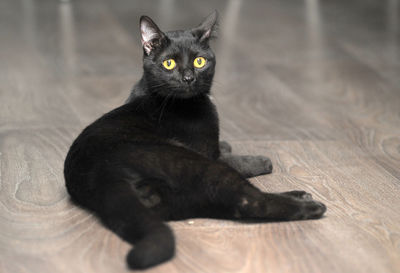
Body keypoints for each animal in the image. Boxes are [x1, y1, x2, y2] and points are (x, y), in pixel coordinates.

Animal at [62, 11, 324, 268]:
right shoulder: (207, 153)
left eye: (199, 61)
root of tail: (104, 177)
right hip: (196, 164)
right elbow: (235, 160)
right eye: (169, 63)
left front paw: (227, 144)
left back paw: (300, 195)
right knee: (248, 201)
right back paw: (310, 205)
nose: (188, 77)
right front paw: (261, 160)